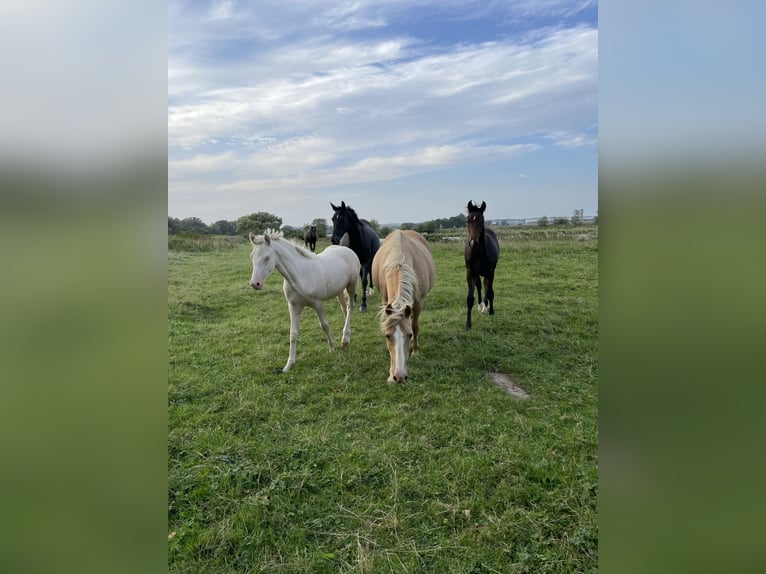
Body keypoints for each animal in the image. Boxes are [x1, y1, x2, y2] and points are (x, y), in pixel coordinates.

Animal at [249, 228, 364, 374]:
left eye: (267, 257)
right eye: (252, 256)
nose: (255, 284)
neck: (300, 275)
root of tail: (345, 248)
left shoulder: (318, 304)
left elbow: (324, 326)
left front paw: (332, 348)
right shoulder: (294, 306)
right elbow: (293, 334)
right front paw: (289, 364)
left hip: (351, 285)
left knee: (350, 307)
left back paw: (344, 339)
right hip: (339, 290)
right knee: (345, 309)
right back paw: (347, 336)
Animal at [374, 228, 438, 382]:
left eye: (409, 335)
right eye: (387, 336)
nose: (399, 376)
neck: (399, 263)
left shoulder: (419, 302)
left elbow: (415, 326)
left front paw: (414, 350)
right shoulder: (385, 301)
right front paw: (390, 374)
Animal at [464, 200, 500, 330]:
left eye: (482, 221)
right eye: (468, 221)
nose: (473, 244)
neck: (479, 253)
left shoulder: (491, 272)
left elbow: (490, 292)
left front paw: (491, 311)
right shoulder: (470, 272)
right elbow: (470, 298)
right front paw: (468, 324)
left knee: (486, 285)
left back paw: (485, 306)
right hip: (477, 273)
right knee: (479, 286)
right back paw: (481, 305)